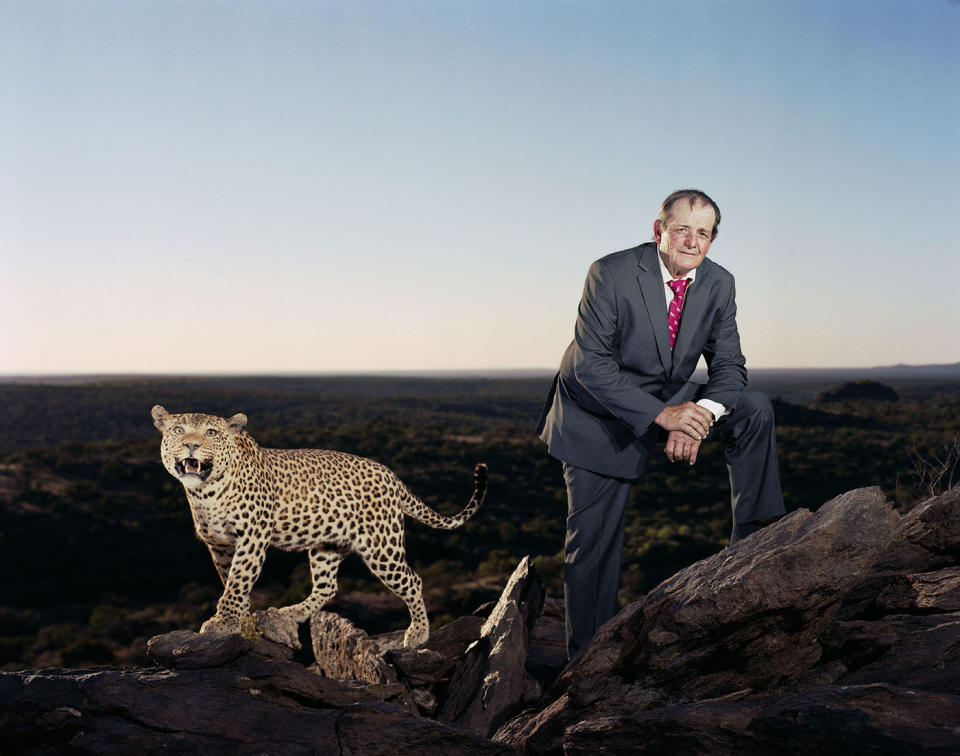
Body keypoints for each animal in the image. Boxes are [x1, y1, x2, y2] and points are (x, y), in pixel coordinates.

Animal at [152, 404, 488, 648]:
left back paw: (418, 633)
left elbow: (238, 579)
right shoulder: (219, 544)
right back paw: (289, 613)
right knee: (328, 587)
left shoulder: (252, 537)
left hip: (382, 547)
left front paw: (224, 620)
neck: (204, 492)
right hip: (327, 545)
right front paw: (242, 620)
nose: (191, 445)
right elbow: (230, 580)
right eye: (178, 430)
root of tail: (391, 475)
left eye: (211, 432)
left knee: (413, 581)